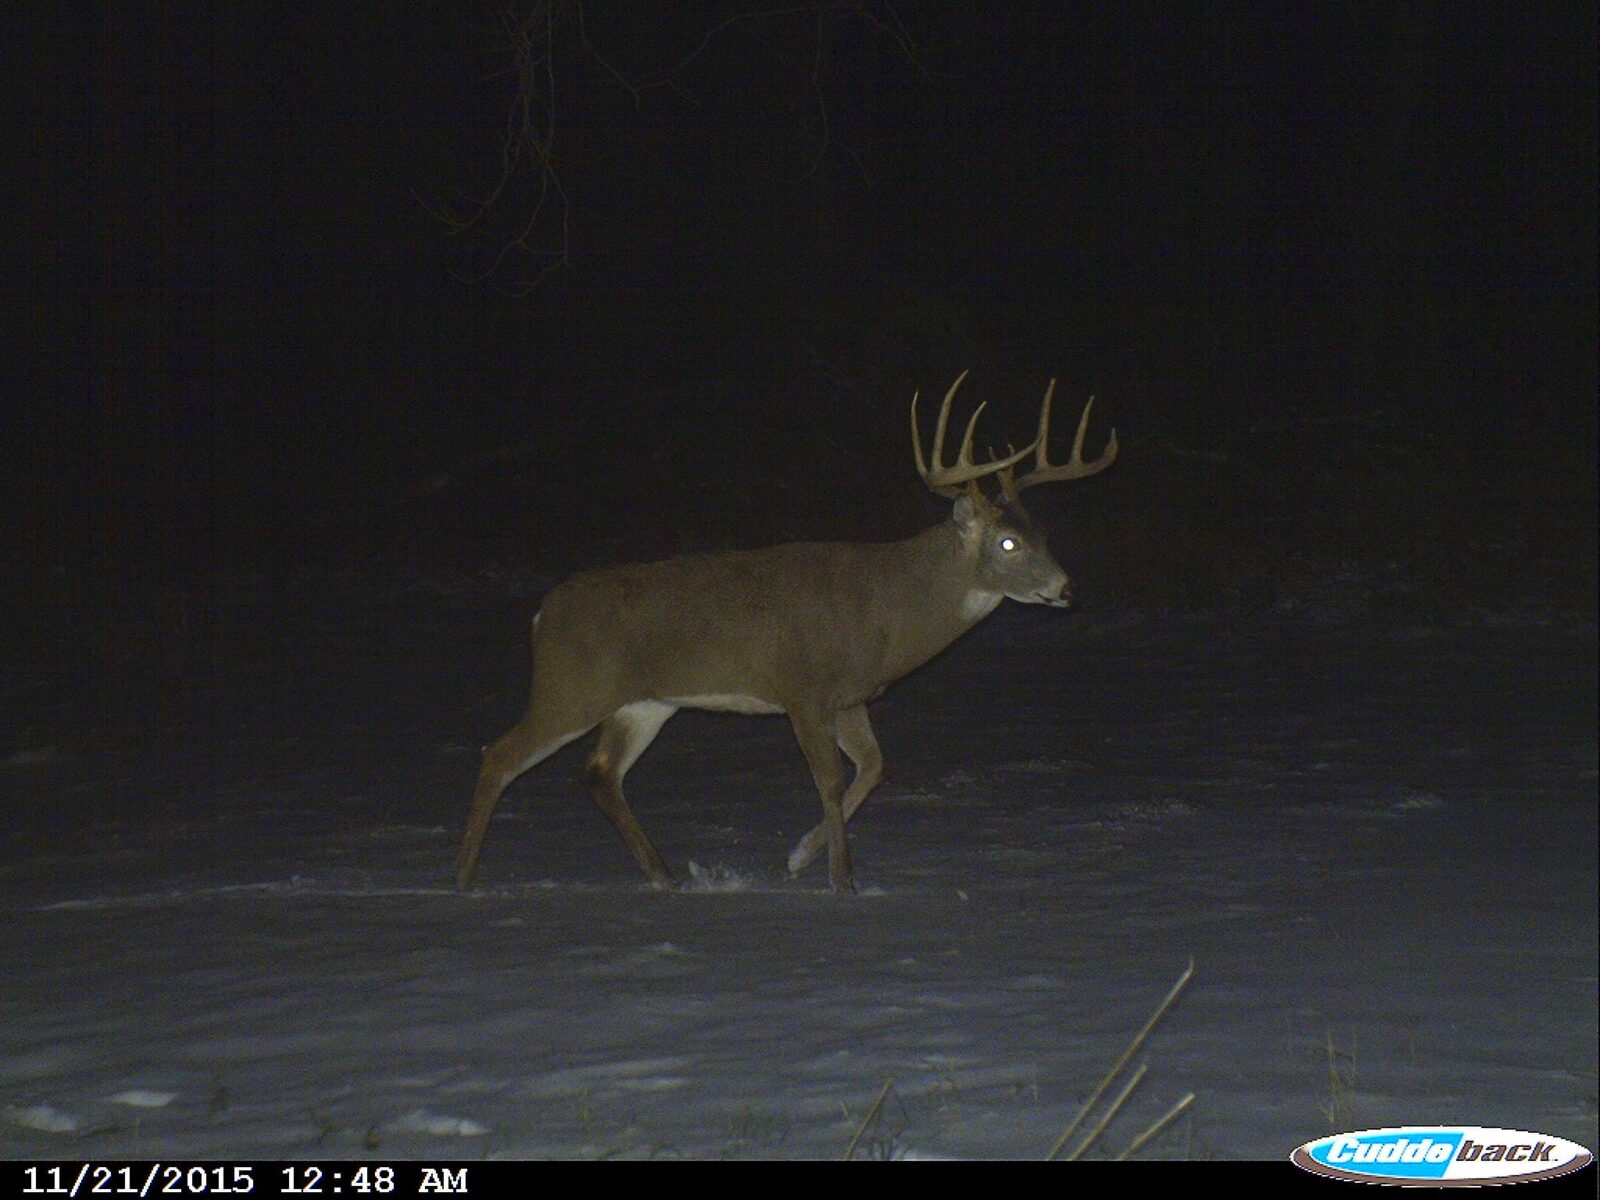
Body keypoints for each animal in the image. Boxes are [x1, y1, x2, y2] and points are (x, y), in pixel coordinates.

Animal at [453, 372, 1117, 893]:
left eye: (1043, 535)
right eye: (1006, 543)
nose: (1067, 590)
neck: (886, 609)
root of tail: (542, 615)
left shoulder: (850, 697)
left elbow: (874, 767)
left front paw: (801, 857)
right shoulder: (803, 688)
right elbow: (830, 777)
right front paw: (842, 879)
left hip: (644, 703)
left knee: (599, 773)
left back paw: (662, 875)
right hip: (571, 686)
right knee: (500, 754)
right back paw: (462, 878)